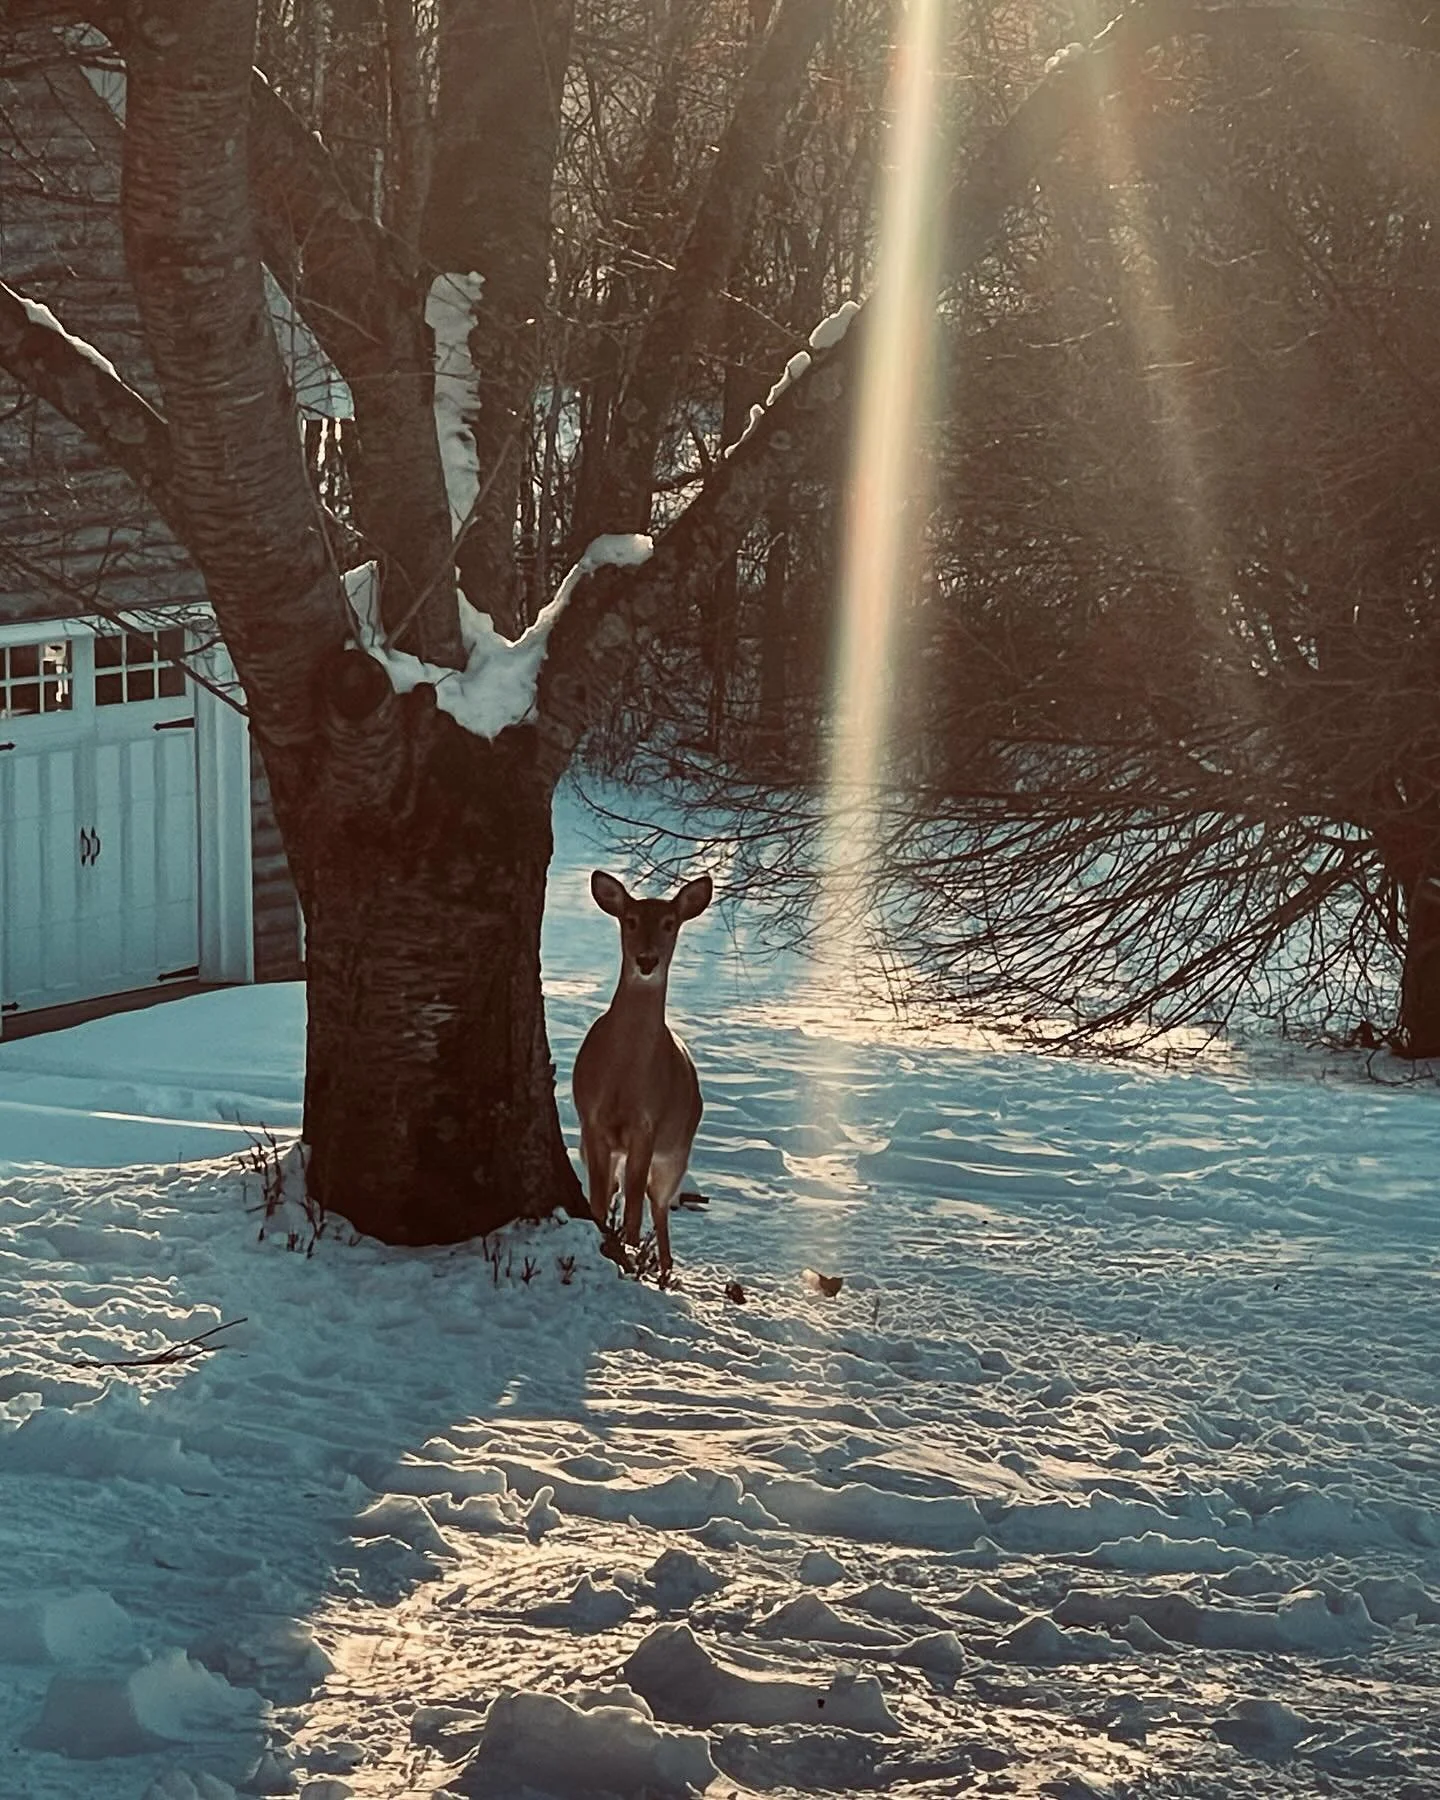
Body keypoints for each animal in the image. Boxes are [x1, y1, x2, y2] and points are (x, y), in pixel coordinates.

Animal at [573, 869, 713, 1283]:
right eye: (631, 920)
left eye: (669, 923)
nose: (646, 960)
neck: (624, 1075)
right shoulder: (591, 1119)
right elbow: (602, 1192)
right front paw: (603, 1231)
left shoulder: (648, 1122)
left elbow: (635, 1197)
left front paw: (630, 1244)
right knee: (624, 1190)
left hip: (677, 1150)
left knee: (659, 1203)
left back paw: (664, 1267)